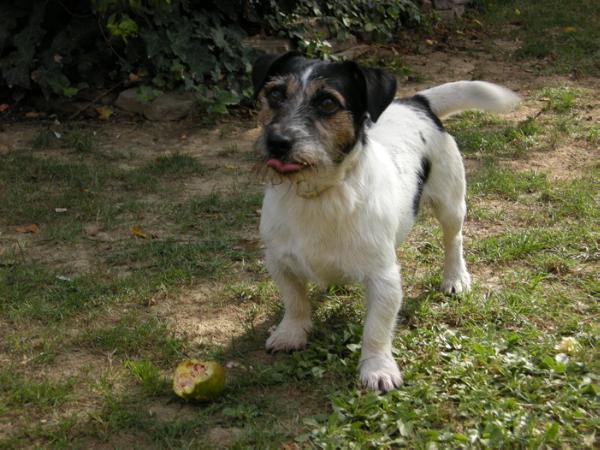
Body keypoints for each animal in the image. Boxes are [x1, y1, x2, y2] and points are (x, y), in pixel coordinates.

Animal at [251, 51, 516, 390]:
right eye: (274, 94)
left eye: (328, 102)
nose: (277, 141)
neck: (319, 195)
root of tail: (416, 102)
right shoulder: (279, 262)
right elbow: (294, 301)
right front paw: (291, 332)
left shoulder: (383, 278)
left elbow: (376, 328)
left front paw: (377, 367)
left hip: (450, 203)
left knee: (453, 240)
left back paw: (455, 277)